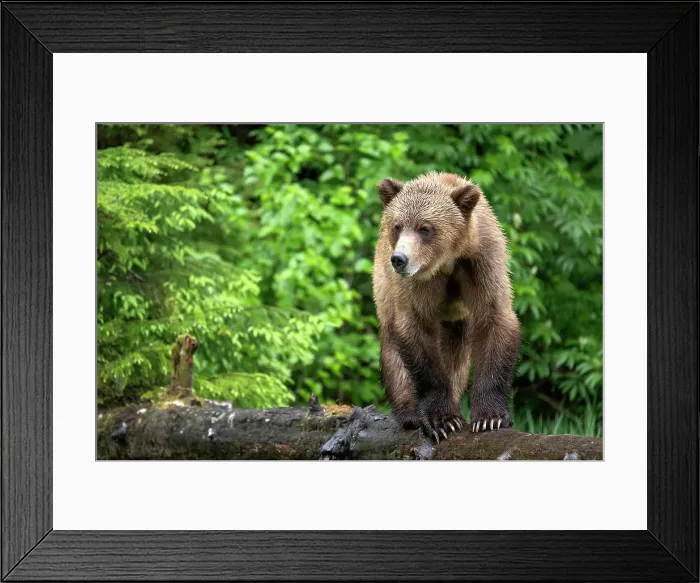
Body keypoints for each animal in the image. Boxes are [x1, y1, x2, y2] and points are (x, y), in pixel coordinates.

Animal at [372, 171, 521, 441]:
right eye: (397, 226)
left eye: (425, 228)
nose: (399, 259)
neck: (446, 261)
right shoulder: (416, 286)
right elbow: (416, 333)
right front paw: (442, 420)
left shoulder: (482, 264)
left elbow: (494, 319)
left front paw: (490, 417)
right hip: (384, 284)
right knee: (391, 342)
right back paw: (409, 412)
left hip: (456, 319)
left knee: (457, 352)